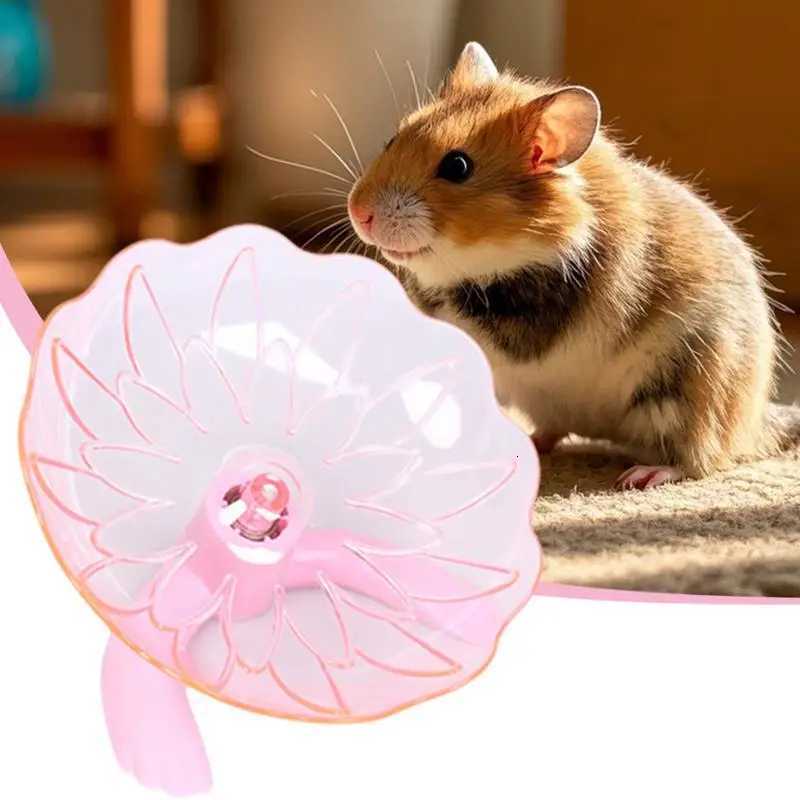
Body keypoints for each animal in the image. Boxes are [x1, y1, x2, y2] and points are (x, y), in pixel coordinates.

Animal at [347, 41, 798, 490]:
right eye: (394, 137)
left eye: (457, 166)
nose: (358, 213)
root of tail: (758, 420)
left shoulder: (531, 321)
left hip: (690, 385)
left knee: (698, 460)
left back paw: (643, 475)